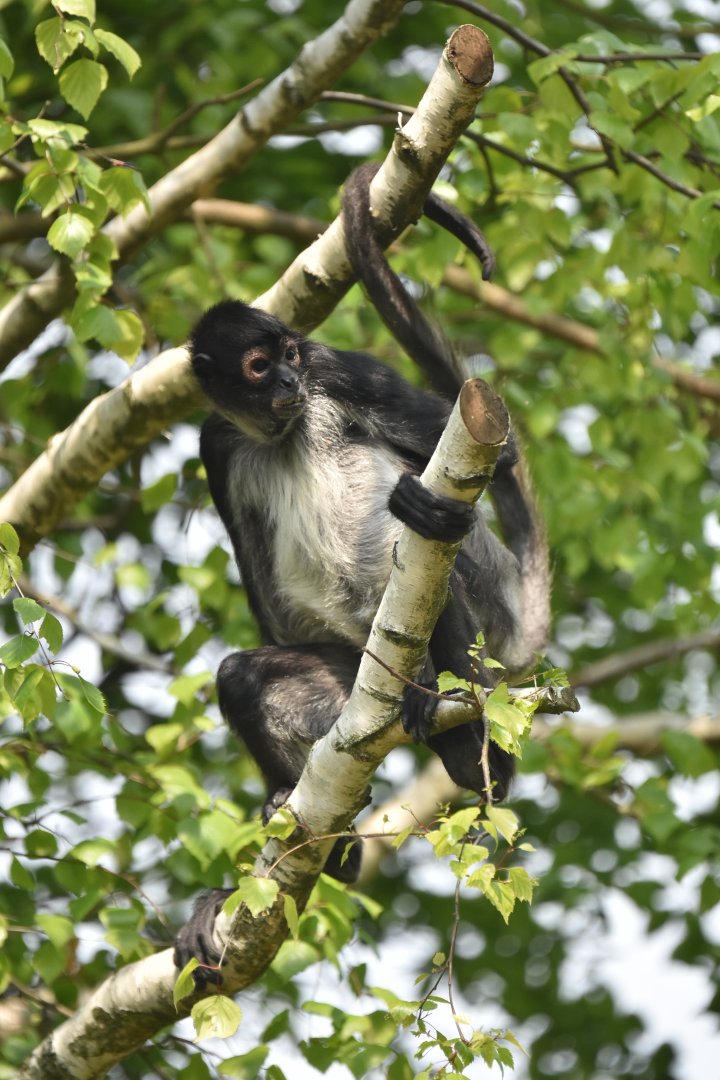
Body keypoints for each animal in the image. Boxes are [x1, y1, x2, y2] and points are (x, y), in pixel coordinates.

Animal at [173, 170, 549, 978]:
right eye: (259, 366)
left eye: (290, 350)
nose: (288, 374)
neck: (279, 429)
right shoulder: (216, 441)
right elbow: (265, 627)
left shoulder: (337, 366)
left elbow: (494, 458)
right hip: (349, 674)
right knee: (242, 675)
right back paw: (331, 842)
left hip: (476, 602)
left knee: (433, 555)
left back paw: (465, 732)